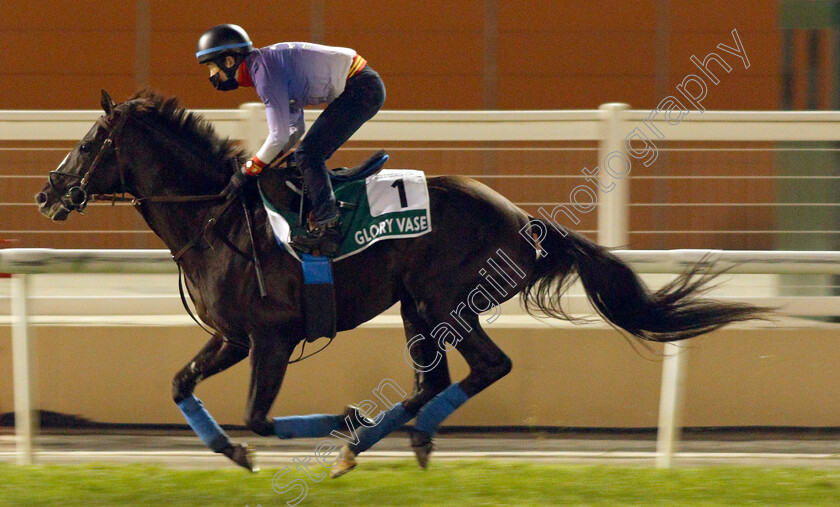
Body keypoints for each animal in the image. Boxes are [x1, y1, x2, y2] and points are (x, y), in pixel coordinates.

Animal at [36, 90, 764, 476]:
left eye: (89, 141)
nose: (48, 191)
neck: (220, 217)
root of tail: (522, 218)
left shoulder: (270, 338)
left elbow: (259, 413)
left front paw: (336, 420)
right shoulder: (231, 338)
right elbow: (181, 384)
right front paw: (233, 452)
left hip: (445, 300)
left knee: (484, 367)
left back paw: (365, 439)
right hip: (417, 306)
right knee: (434, 381)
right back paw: (395, 440)